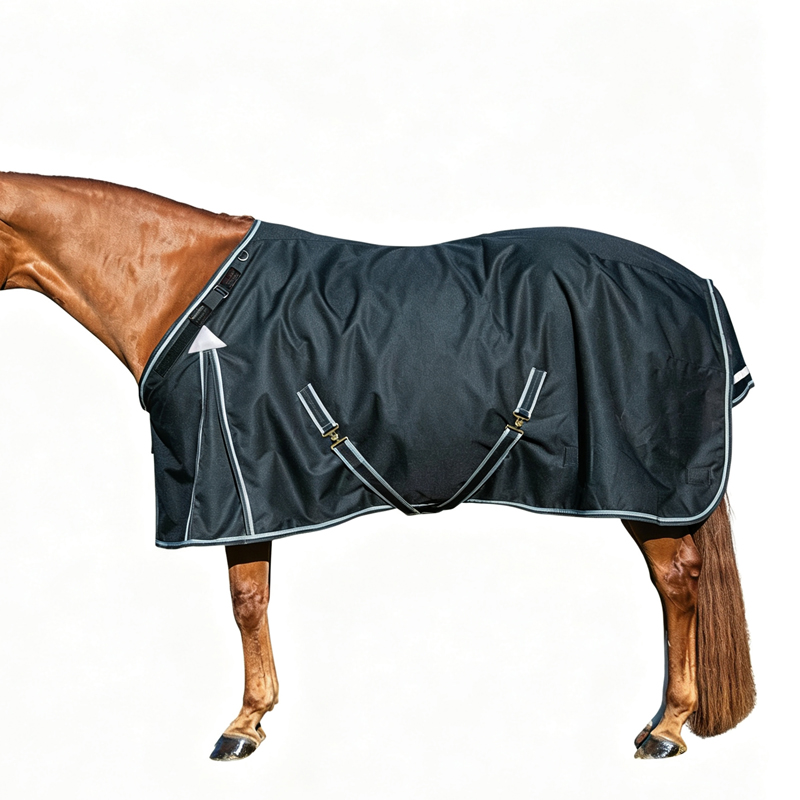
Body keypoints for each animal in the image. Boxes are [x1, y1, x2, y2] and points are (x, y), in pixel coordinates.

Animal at [0, 172, 755, 761]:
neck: (185, 287)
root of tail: (697, 285)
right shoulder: (255, 495)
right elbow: (255, 598)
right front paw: (258, 716)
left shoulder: (235, 490)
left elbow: (245, 602)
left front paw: (241, 727)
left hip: (646, 490)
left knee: (677, 583)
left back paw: (667, 729)